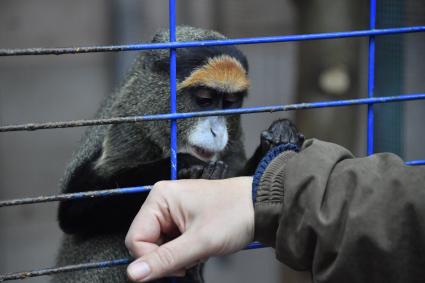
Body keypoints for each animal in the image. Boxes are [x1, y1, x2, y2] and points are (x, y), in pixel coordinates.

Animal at [52, 25, 302, 282]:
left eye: (230, 102)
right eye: (204, 100)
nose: (217, 131)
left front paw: (279, 138)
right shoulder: (127, 131)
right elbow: (74, 208)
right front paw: (186, 166)